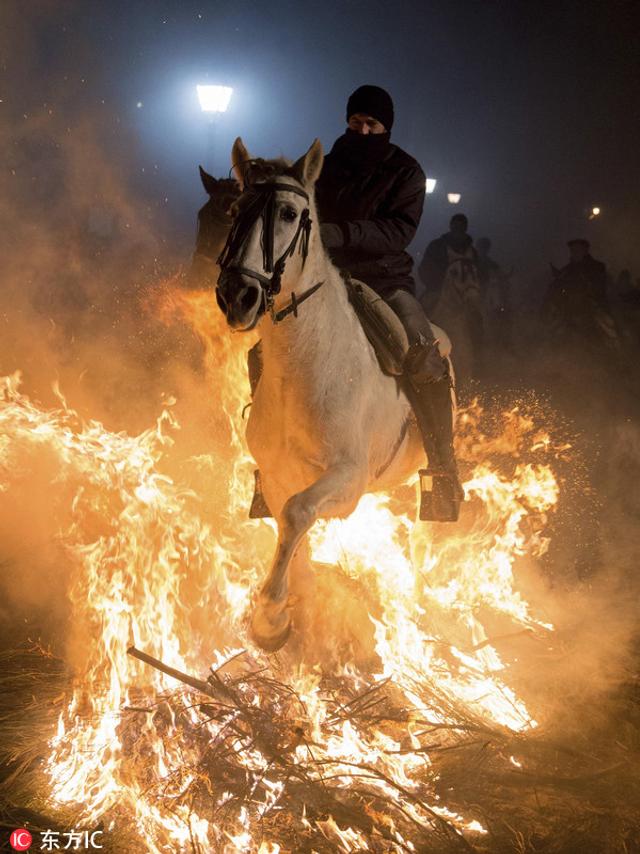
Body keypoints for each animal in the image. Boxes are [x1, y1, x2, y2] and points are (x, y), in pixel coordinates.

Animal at [209, 140, 450, 652]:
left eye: (288, 213)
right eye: (235, 211)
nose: (237, 295)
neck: (307, 368)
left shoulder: (348, 480)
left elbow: (297, 514)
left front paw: (270, 615)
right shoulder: (277, 472)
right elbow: (286, 521)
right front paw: (292, 600)